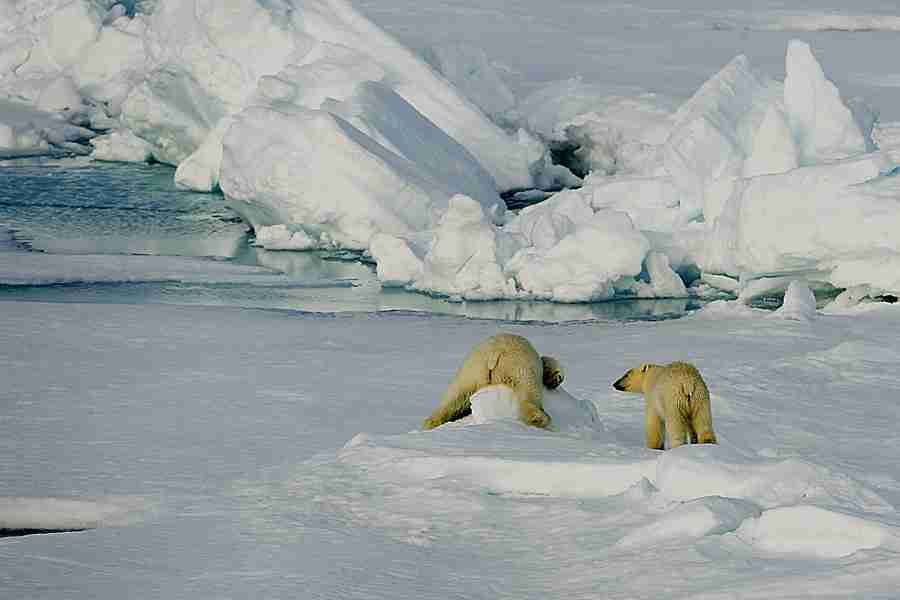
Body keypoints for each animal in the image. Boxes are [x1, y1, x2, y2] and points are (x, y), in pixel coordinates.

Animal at [422, 336, 564, 428]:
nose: (558, 379)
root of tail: (494, 353)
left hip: (471, 370)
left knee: (455, 397)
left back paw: (431, 422)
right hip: (518, 367)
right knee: (528, 391)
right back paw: (539, 419)